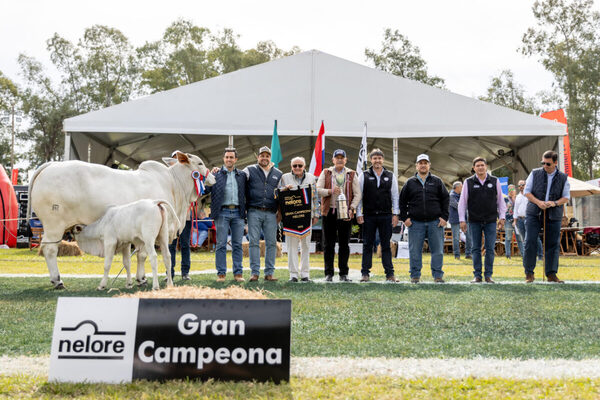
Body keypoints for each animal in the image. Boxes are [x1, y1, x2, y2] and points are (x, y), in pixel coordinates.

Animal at [28, 152, 216, 290]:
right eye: (200, 163)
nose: (213, 178)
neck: (173, 184)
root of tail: (51, 165)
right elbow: (143, 255)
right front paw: (142, 279)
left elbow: (138, 256)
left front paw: (138, 279)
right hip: (54, 225)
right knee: (50, 249)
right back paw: (57, 280)